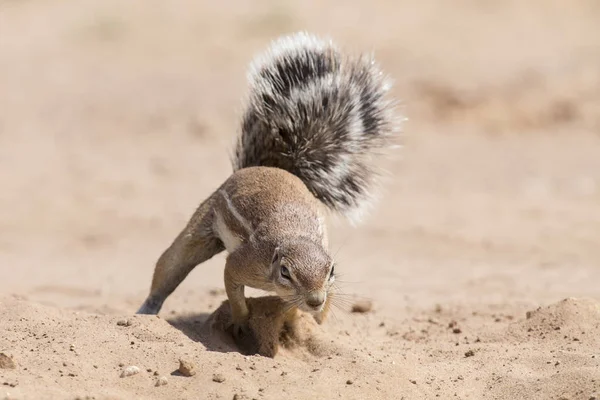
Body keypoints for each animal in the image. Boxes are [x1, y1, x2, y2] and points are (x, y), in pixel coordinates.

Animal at [135, 32, 398, 338]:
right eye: (285, 271)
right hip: (203, 225)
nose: (315, 300)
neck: (291, 237)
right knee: (173, 265)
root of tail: (265, 168)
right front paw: (239, 323)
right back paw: (147, 310)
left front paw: (306, 322)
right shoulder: (242, 264)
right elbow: (233, 291)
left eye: (331, 270)